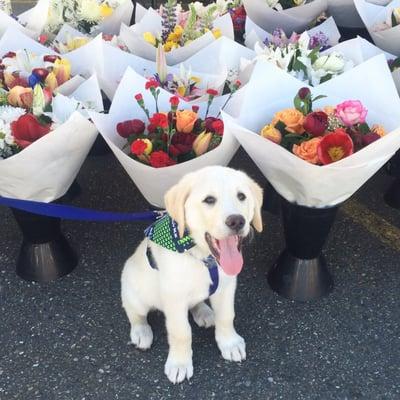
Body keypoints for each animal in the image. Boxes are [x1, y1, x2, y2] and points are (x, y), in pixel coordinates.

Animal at [122, 166, 266, 384]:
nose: (237, 221)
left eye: (241, 196)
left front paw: (229, 343)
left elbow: (227, 316)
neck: (203, 259)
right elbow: (181, 332)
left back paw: (204, 312)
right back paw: (141, 332)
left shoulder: (227, 287)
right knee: (135, 313)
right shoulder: (174, 298)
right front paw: (179, 364)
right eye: (209, 200)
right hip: (135, 292)